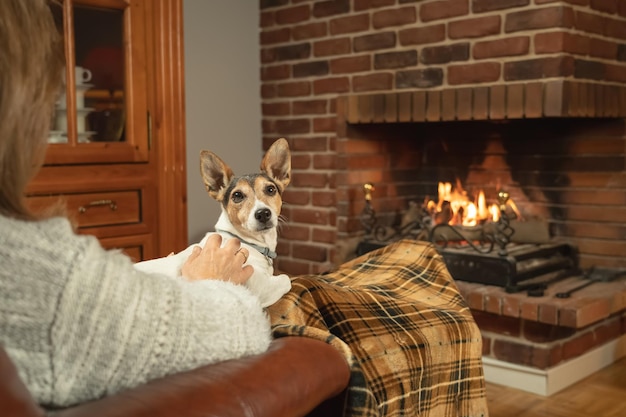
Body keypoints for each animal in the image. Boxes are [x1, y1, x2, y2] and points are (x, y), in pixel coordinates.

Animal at [134, 138, 290, 308]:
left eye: (270, 189)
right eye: (237, 195)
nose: (263, 214)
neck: (248, 242)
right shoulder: (260, 286)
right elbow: (286, 278)